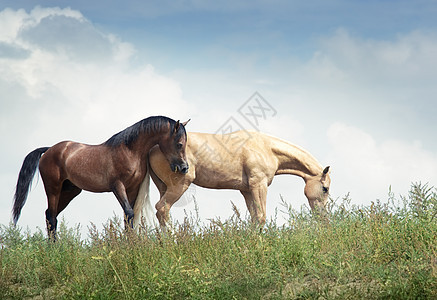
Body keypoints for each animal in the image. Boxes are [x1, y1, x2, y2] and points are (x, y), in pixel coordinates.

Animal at [12, 116, 187, 238]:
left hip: (70, 191)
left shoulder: (132, 188)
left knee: (50, 214)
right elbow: (129, 212)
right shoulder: (118, 186)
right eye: (180, 144)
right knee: (51, 216)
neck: (130, 151)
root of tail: (48, 150)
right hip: (53, 188)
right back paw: (54, 249)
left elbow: (128, 216)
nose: (184, 167)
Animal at [140, 131, 330, 227]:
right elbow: (261, 217)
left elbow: (254, 218)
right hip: (179, 186)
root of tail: (154, 147)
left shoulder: (246, 191)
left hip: (164, 187)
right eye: (325, 188)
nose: (323, 216)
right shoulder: (259, 186)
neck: (266, 148)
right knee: (162, 208)